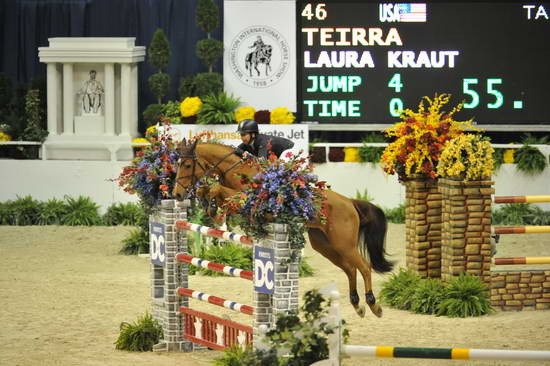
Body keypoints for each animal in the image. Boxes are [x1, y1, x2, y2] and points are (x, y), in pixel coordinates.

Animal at [175, 140, 394, 318]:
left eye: (187, 165)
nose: (177, 195)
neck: (236, 171)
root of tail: (350, 202)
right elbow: (209, 191)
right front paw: (211, 208)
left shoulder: (246, 200)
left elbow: (217, 189)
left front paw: (213, 208)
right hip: (324, 245)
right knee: (350, 268)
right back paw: (357, 305)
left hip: (344, 243)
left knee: (364, 266)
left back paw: (374, 305)